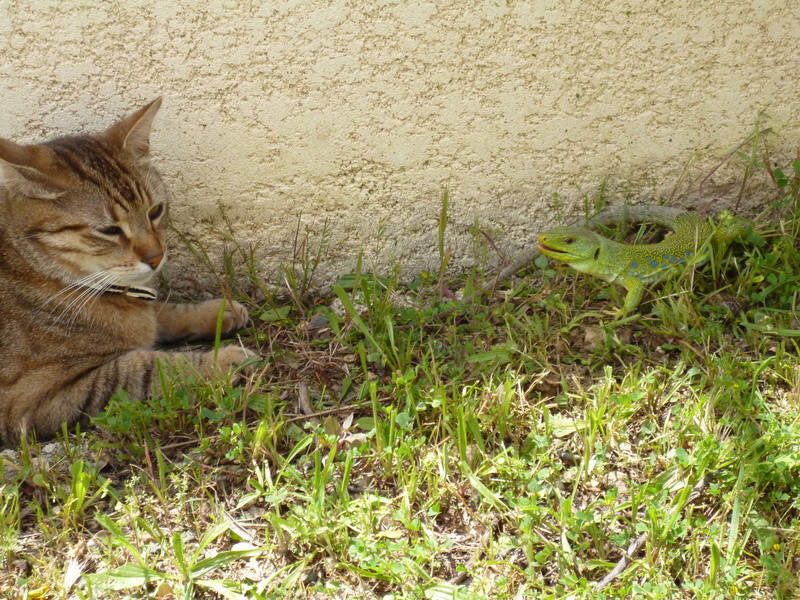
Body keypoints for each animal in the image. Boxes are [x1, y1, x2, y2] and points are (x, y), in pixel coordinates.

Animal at [0, 98, 255, 442]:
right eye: (109, 230)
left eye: (155, 211)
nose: (157, 257)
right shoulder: (33, 401)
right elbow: (141, 368)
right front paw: (222, 360)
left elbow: (163, 312)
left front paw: (215, 312)